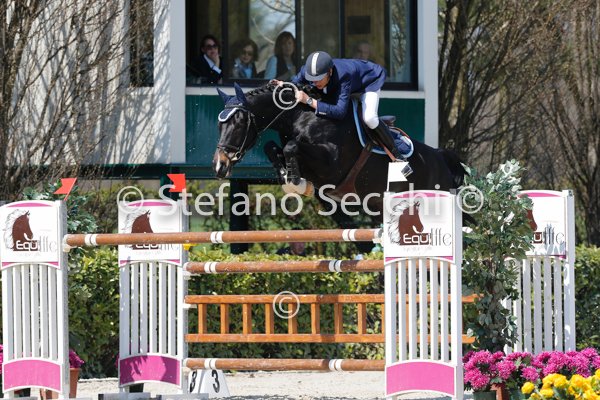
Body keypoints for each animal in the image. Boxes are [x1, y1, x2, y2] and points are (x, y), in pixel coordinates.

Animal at [213, 82, 466, 220]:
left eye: (238, 123)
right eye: (219, 124)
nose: (219, 165)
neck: (303, 115)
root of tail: (441, 157)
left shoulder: (331, 166)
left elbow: (291, 146)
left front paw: (295, 182)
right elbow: (274, 147)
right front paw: (288, 177)